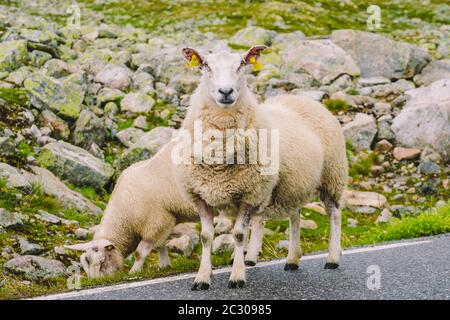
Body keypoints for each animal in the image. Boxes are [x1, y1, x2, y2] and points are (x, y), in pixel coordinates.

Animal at [64, 140, 266, 278]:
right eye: (84, 264)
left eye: (102, 261)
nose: (97, 282)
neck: (125, 218)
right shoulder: (163, 221)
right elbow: (160, 245)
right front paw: (164, 265)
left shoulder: (157, 220)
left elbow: (141, 251)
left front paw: (134, 271)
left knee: (254, 222)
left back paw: (247, 255)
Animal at [176, 45, 348, 290]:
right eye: (206, 65)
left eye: (241, 64)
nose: (226, 91)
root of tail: (302, 98)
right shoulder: (199, 195)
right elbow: (206, 237)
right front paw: (202, 278)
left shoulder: (250, 193)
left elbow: (239, 234)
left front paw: (237, 276)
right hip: (292, 184)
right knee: (294, 217)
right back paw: (290, 259)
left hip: (331, 176)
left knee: (334, 213)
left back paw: (332, 258)